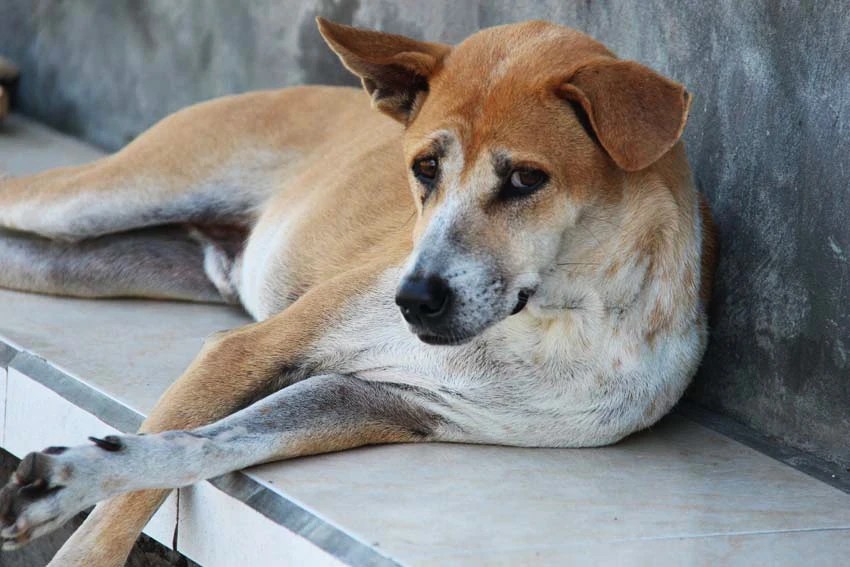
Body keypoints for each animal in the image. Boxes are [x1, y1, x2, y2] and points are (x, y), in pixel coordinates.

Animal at [0, 18, 712, 567]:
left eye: (526, 179)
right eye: (424, 168)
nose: (414, 299)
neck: (553, 320)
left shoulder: (377, 401)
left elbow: (204, 443)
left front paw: (69, 478)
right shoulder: (253, 349)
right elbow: (141, 486)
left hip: (80, 260)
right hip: (98, 198)